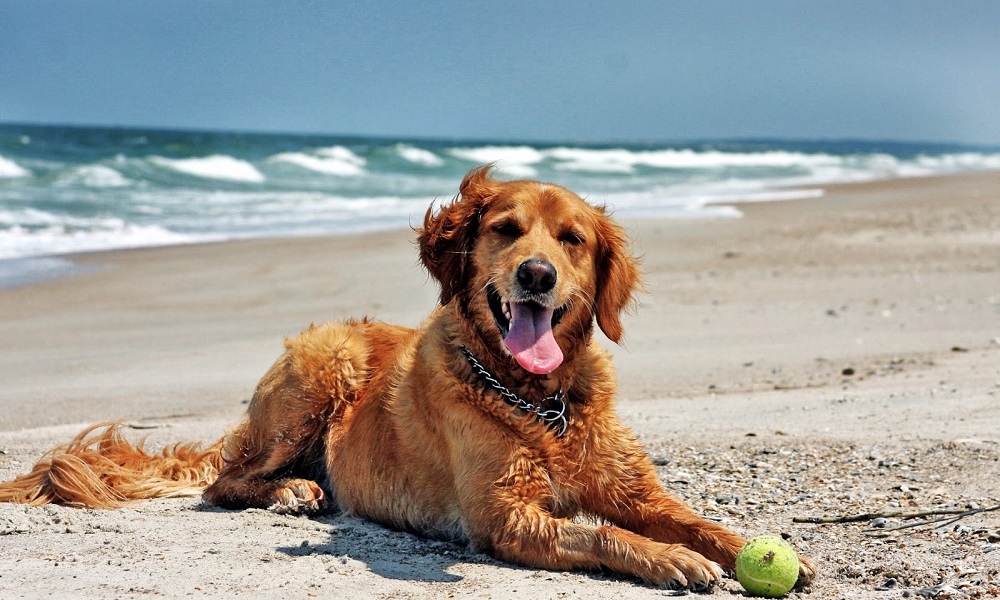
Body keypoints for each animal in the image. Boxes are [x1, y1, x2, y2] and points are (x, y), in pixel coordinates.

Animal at [0, 165, 812, 592]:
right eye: (505, 230)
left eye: (573, 239)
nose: (538, 275)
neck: (538, 400)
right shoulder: (503, 517)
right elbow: (604, 534)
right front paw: (671, 559)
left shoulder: (634, 490)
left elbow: (694, 519)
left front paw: (753, 548)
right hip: (319, 367)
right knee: (224, 482)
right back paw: (292, 490)